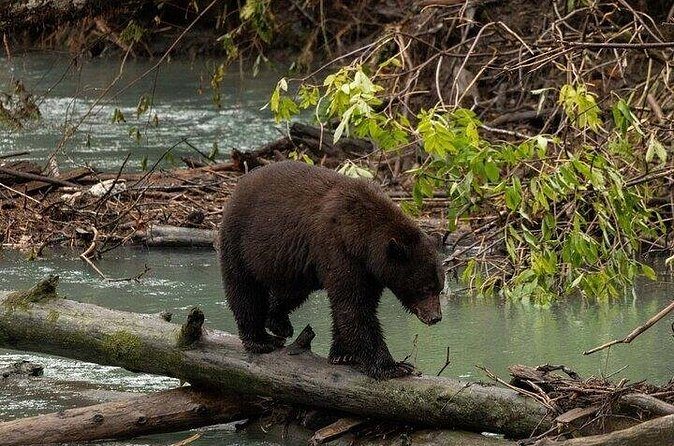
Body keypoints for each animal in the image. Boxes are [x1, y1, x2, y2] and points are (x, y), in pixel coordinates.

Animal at [218, 160, 444, 380]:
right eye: (425, 288)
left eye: (439, 288)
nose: (436, 317)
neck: (362, 240)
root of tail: (240, 184)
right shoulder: (337, 250)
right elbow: (354, 307)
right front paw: (394, 366)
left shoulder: (368, 271)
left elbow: (356, 304)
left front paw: (343, 354)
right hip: (240, 239)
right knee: (244, 289)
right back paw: (260, 339)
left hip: (294, 264)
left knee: (291, 291)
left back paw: (278, 322)